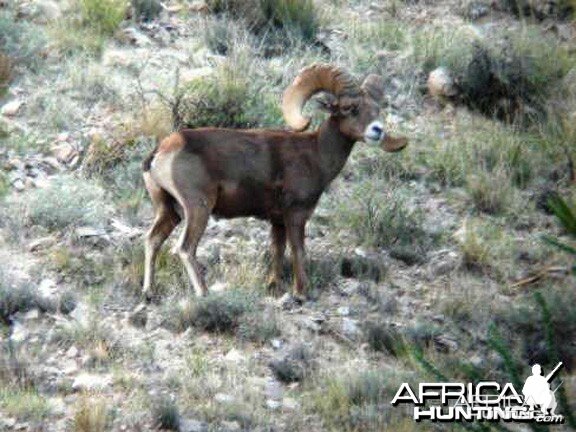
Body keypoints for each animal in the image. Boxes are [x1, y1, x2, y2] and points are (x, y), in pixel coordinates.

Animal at [142, 63, 408, 300]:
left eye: (376, 109)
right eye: (349, 108)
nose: (377, 130)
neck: (315, 154)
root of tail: (162, 151)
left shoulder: (277, 221)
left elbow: (277, 251)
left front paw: (273, 287)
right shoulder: (295, 215)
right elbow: (298, 250)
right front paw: (301, 293)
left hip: (169, 211)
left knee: (153, 240)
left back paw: (149, 292)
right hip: (198, 207)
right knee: (185, 248)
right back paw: (204, 293)